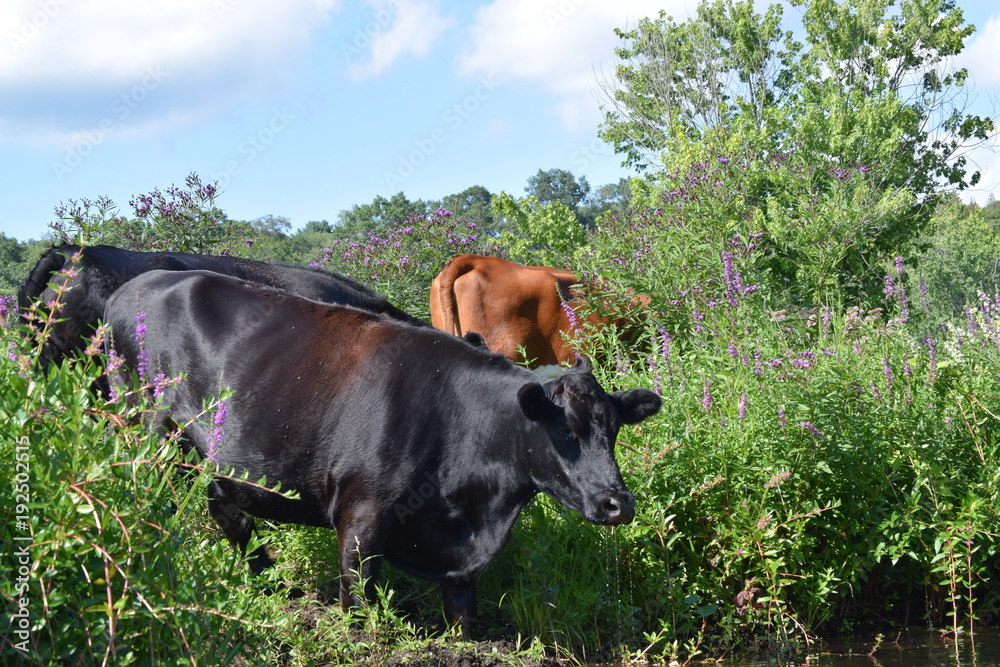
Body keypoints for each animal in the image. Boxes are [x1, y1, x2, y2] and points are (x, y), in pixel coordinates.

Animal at [104, 269, 661, 635]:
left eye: (613, 429)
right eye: (563, 428)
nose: (619, 503)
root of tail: (133, 285)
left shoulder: (460, 551)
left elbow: (463, 612)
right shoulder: (361, 515)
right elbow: (358, 599)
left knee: (227, 510)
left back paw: (269, 583)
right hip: (143, 428)